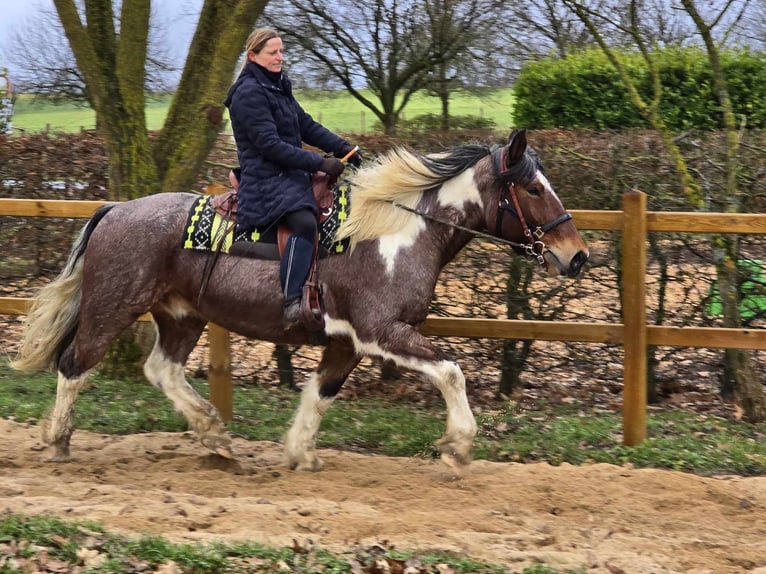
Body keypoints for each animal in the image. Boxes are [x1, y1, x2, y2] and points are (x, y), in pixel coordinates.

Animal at [10, 129, 588, 472]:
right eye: (533, 188)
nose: (576, 255)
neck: (398, 233)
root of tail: (115, 210)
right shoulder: (382, 332)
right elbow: (450, 372)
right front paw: (459, 445)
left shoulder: (346, 342)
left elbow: (320, 392)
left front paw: (300, 454)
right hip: (112, 308)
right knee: (74, 364)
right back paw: (57, 441)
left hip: (181, 316)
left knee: (162, 370)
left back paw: (215, 437)